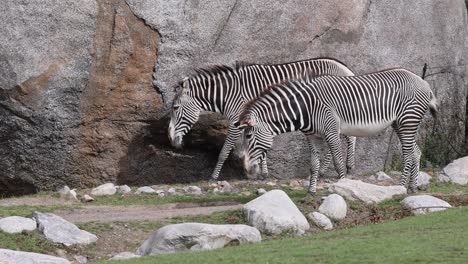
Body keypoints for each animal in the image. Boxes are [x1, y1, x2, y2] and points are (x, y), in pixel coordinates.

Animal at [168, 57, 354, 179]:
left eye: (175, 108)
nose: (170, 140)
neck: (229, 93)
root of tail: (346, 68)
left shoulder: (237, 122)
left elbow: (224, 151)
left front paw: (213, 177)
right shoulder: (256, 120)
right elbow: (260, 148)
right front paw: (262, 172)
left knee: (349, 136)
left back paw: (347, 168)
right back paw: (328, 170)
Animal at [238, 67, 438, 193]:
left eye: (249, 136)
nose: (246, 170)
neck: (305, 107)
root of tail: (425, 84)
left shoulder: (332, 132)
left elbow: (338, 163)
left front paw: (341, 188)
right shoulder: (312, 136)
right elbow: (314, 164)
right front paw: (311, 191)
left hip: (407, 120)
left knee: (407, 155)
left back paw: (402, 187)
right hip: (402, 123)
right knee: (415, 152)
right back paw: (412, 187)